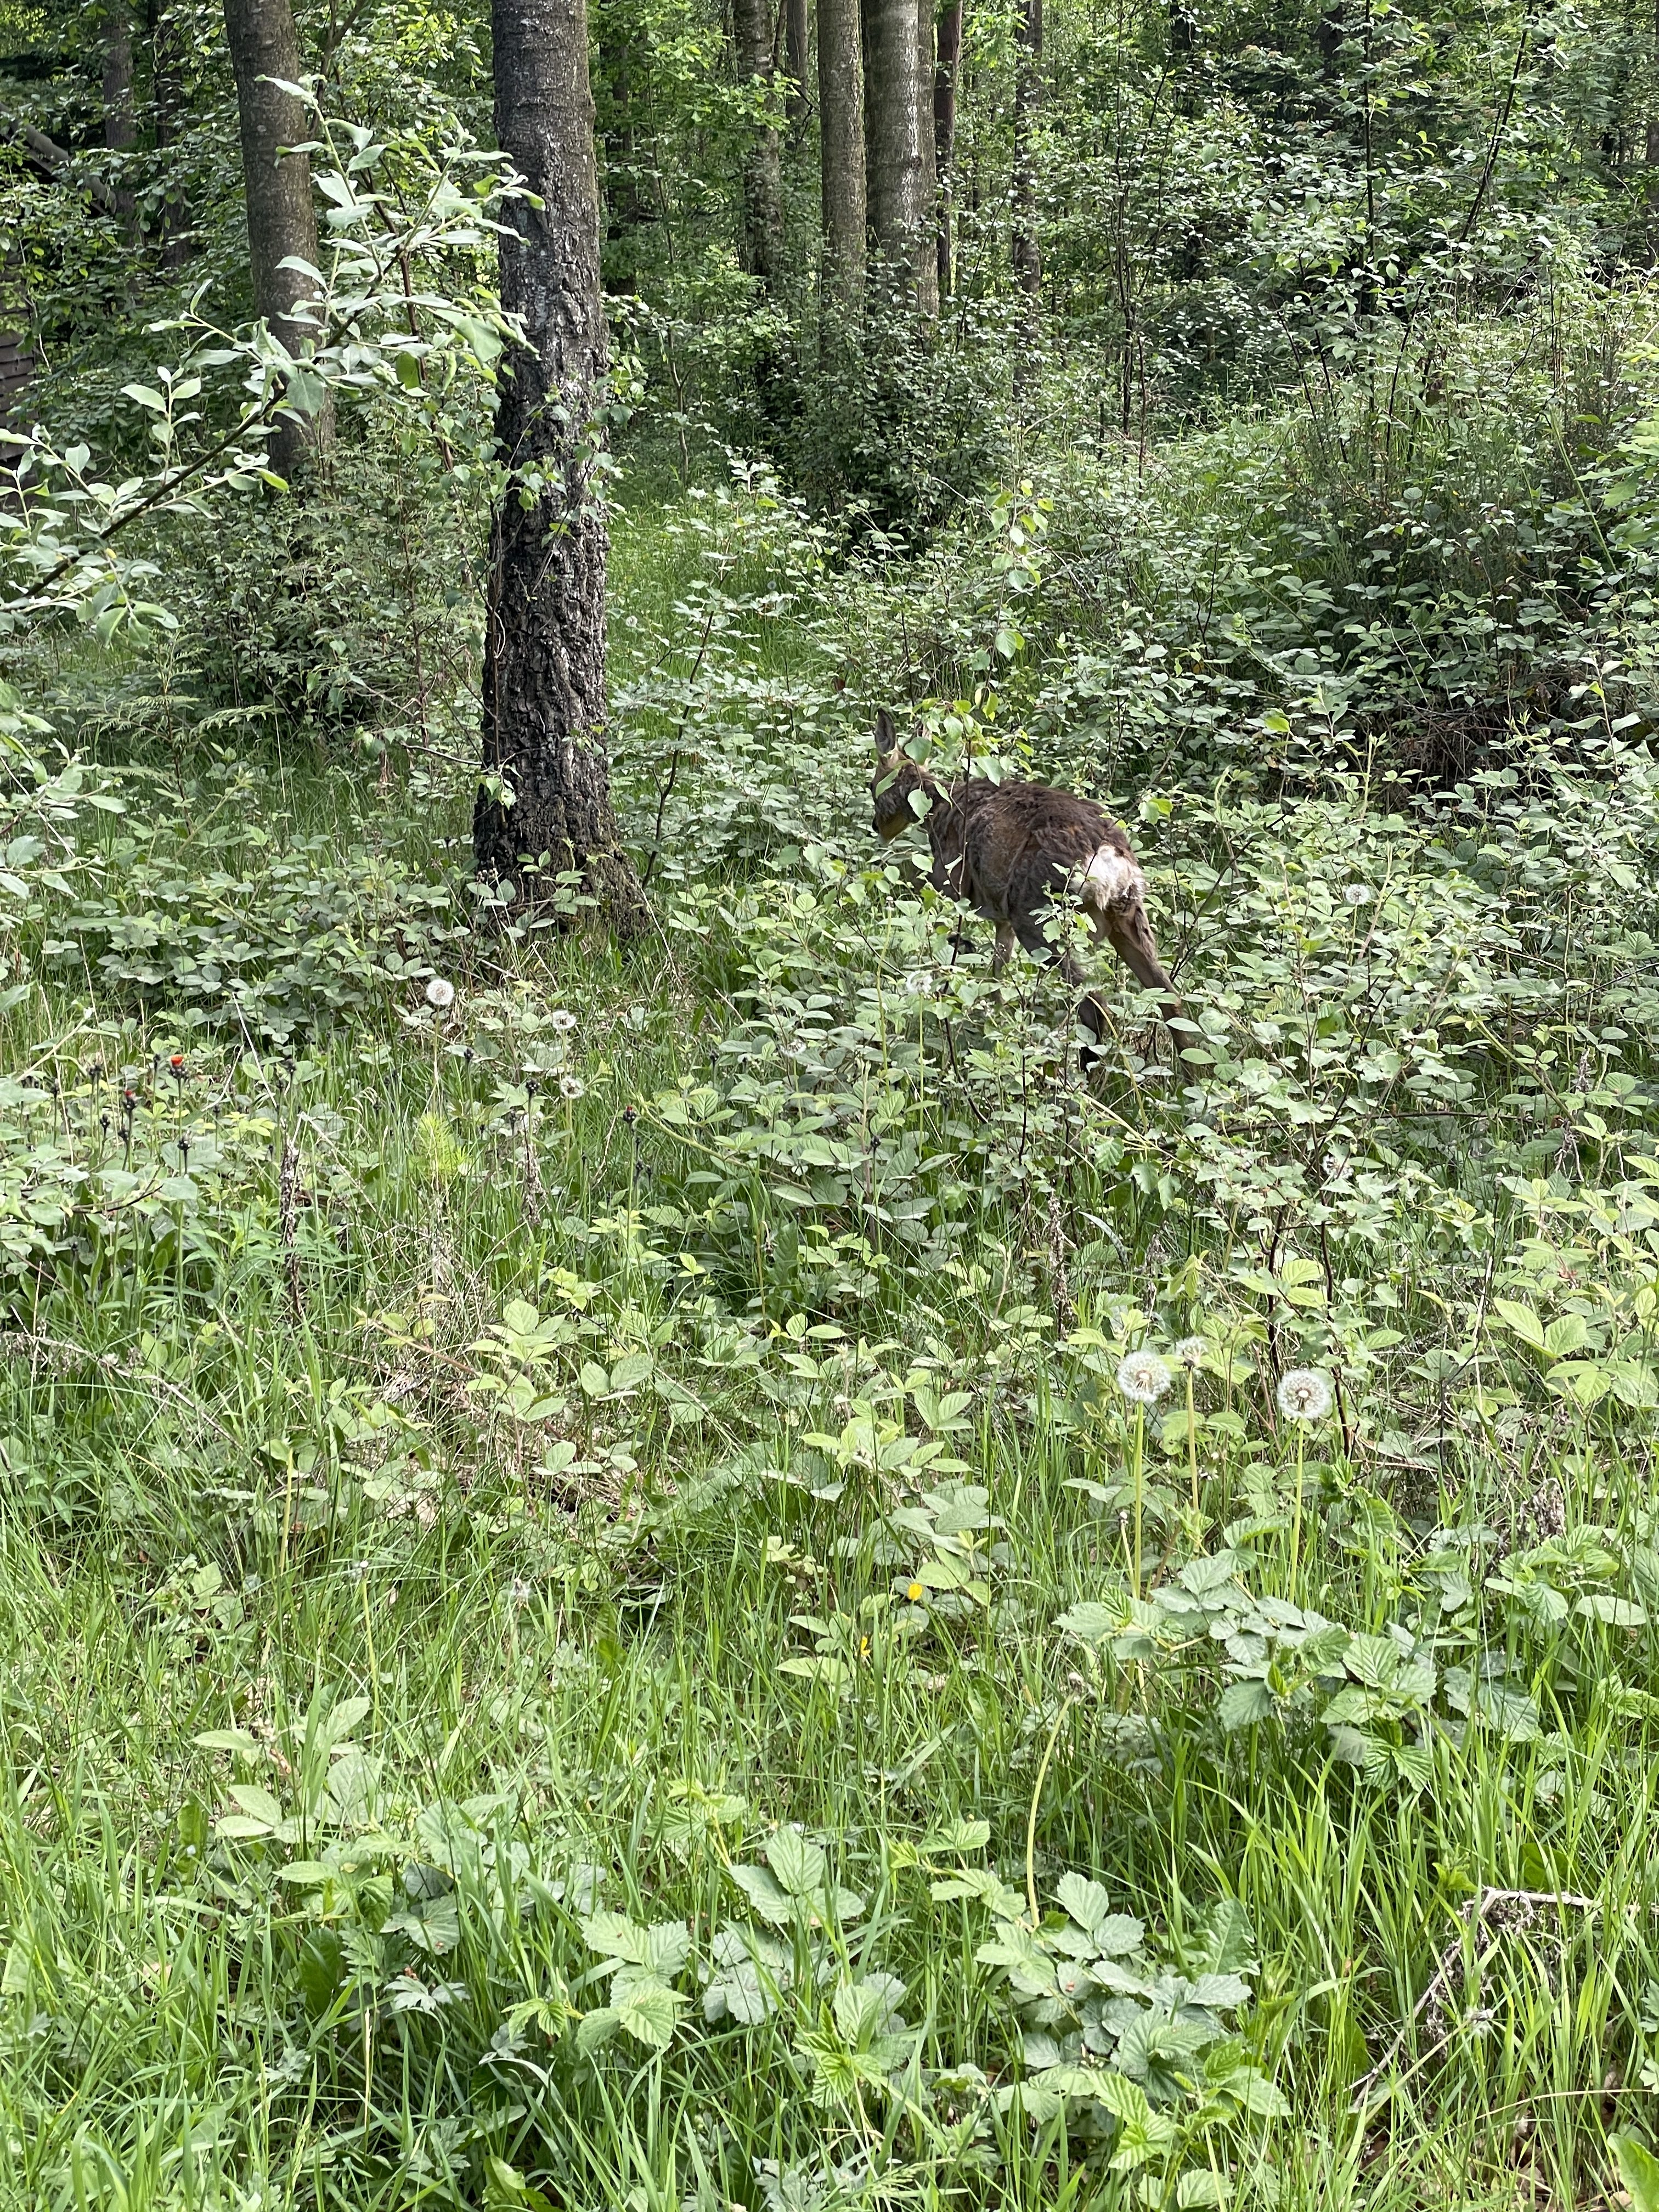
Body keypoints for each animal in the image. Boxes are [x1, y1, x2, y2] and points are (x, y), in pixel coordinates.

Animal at [869, 710, 1181, 1068]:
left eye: (872, 785)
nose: (877, 826)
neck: (936, 807)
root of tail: (1108, 856)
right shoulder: (1000, 914)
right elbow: (998, 976)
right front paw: (992, 1028)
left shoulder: (952, 886)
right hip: (1127, 913)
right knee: (1171, 998)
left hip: (1038, 915)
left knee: (1094, 1004)